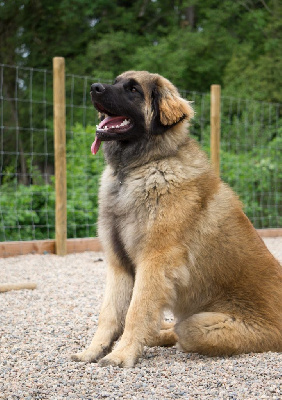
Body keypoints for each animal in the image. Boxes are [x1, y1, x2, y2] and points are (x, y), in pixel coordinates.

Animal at [71, 71, 282, 366]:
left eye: (133, 90)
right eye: (115, 81)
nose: (94, 88)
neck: (141, 168)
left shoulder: (154, 262)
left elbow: (137, 311)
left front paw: (121, 354)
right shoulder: (118, 263)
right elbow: (109, 314)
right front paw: (94, 350)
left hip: (200, 325)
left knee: (181, 332)